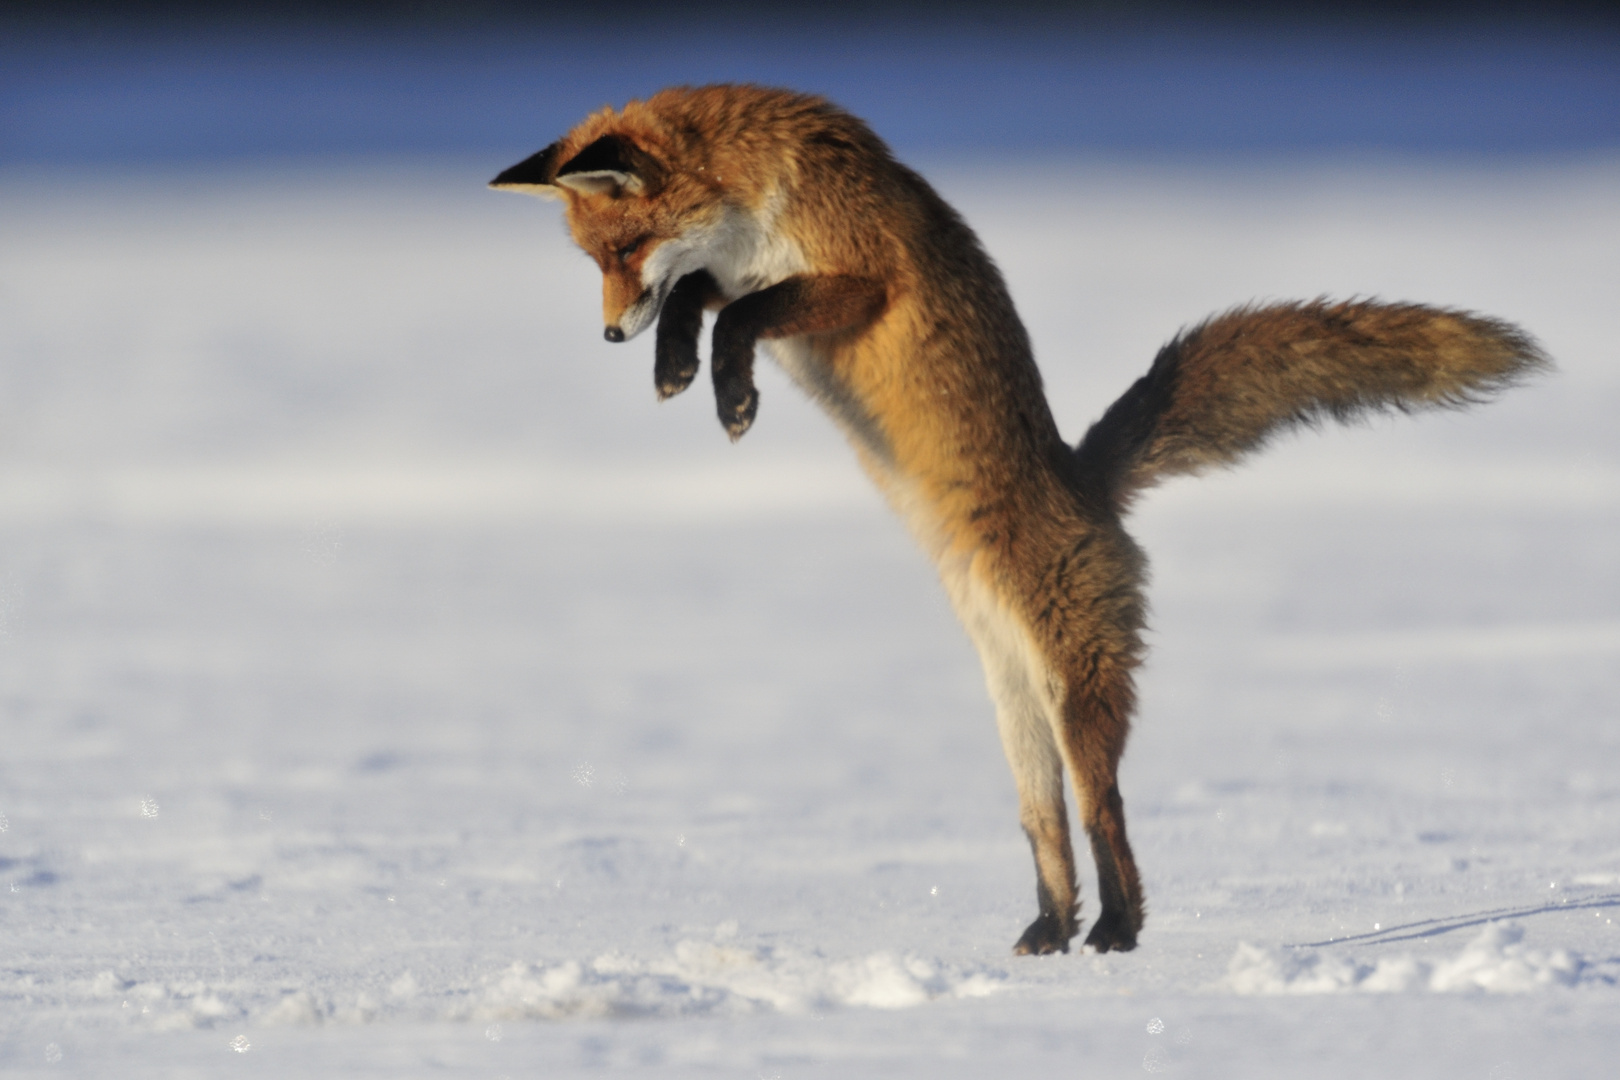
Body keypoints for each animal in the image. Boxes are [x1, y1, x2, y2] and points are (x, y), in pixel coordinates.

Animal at [489, 88, 1542, 958]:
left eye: (624, 250)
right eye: (594, 260)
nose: (609, 333)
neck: (763, 192)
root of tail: (1086, 479)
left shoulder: (857, 274)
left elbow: (743, 313)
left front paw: (725, 389)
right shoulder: (741, 272)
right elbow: (708, 300)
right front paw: (680, 365)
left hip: (1076, 694)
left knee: (1107, 812)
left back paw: (1119, 931)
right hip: (1015, 710)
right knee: (1049, 829)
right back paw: (1050, 930)